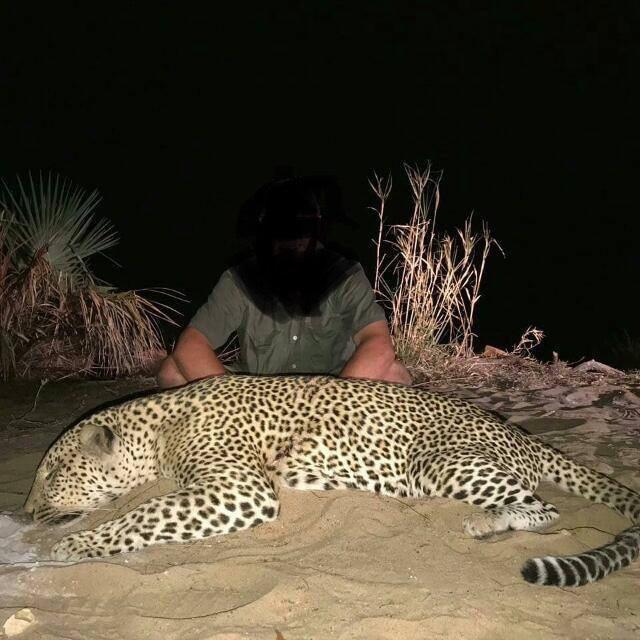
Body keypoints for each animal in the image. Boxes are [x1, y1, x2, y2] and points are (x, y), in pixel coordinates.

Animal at [24, 374, 640, 586]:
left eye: (52, 471)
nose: (25, 512)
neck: (155, 433)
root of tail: (524, 433)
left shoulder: (239, 490)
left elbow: (145, 513)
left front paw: (74, 545)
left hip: (440, 463)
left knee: (545, 511)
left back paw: (485, 526)